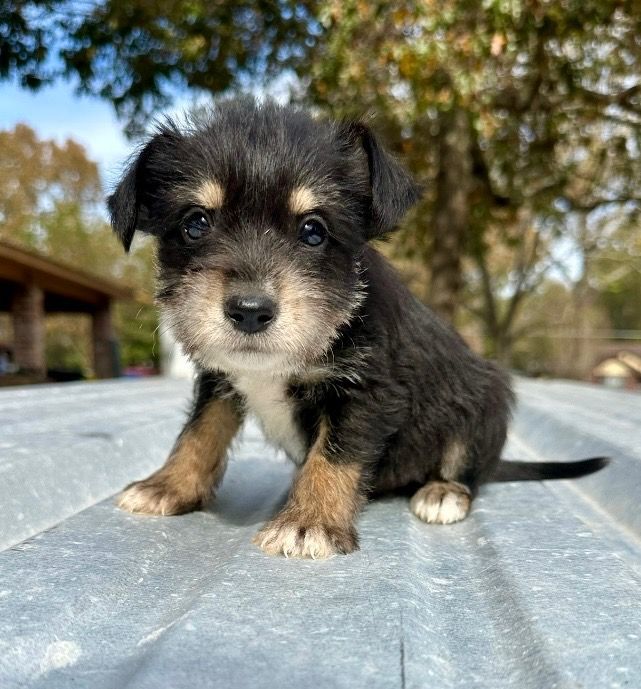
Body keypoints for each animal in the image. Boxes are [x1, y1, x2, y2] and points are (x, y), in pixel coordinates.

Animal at [106, 98, 592, 560]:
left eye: (314, 231)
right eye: (195, 223)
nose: (249, 311)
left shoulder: (368, 392)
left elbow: (334, 455)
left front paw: (308, 523)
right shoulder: (220, 380)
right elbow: (199, 432)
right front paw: (166, 485)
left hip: (484, 403)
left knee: (468, 466)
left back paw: (443, 492)